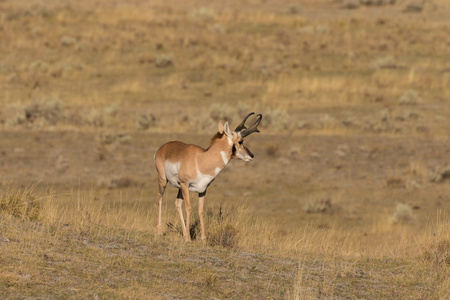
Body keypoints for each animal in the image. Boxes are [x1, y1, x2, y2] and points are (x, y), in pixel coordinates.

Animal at [154, 112, 262, 241]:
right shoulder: (185, 184)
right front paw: (188, 239)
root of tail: (162, 148)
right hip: (164, 181)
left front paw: (203, 238)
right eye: (240, 141)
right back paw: (160, 232)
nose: (252, 155)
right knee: (160, 199)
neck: (201, 160)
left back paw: (184, 233)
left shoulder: (203, 189)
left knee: (177, 204)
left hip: (179, 188)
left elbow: (200, 210)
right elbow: (189, 207)